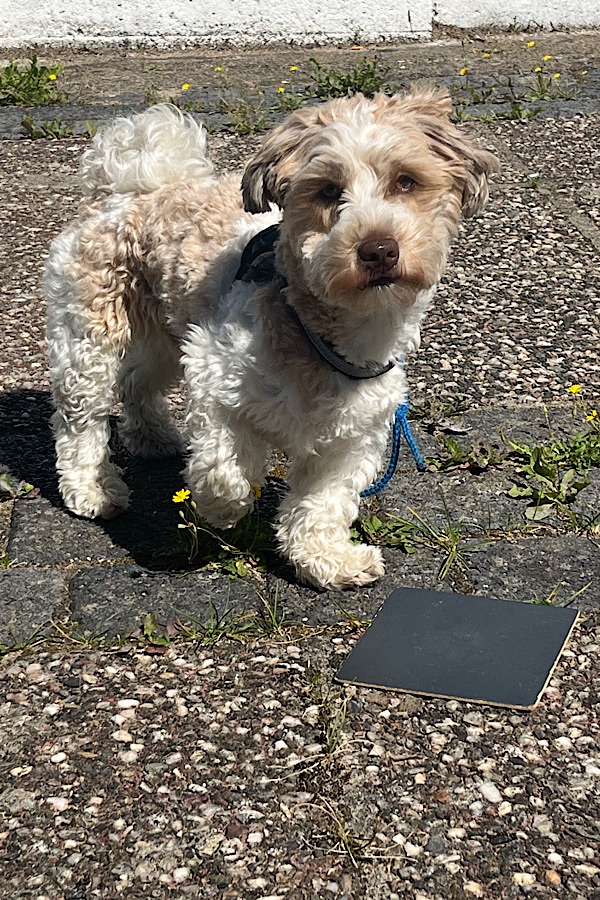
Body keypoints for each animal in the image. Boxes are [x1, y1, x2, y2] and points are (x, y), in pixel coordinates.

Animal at [45, 88, 496, 588]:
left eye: (406, 182)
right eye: (327, 190)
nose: (378, 248)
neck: (320, 337)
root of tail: (130, 188)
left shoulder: (354, 432)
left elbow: (323, 502)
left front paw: (324, 557)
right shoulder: (214, 372)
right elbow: (226, 469)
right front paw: (222, 508)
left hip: (165, 334)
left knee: (137, 382)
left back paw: (153, 437)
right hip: (89, 338)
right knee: (80, 422)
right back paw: (93, 489)